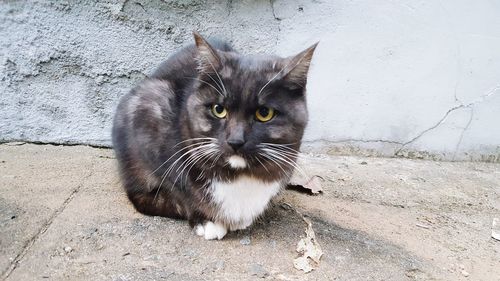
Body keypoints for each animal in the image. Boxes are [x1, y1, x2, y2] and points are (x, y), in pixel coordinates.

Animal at [113, 32, 316, 238]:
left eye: (264, 113)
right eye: (219, 109)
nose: (235, 140)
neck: (239, 175)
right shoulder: (148, 128)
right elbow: (179, 191)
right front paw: (206, 221)